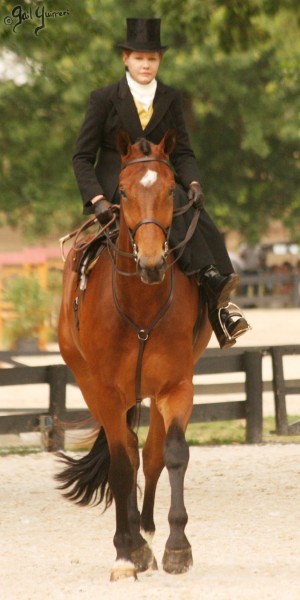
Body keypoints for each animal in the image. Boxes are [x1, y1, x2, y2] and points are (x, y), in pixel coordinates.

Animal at [56, 129, 211, 580]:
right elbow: (121, 466)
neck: (140, 302)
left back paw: (146, 533)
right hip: (95, 386)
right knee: (123, 454)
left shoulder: (176, 386)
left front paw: (177, 547)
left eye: (171, 190)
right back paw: (131, 542)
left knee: (150, 454)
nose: (153, 262)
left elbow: (171, 454)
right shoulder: (107, 393)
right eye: (122, 192)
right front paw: (126, 554)